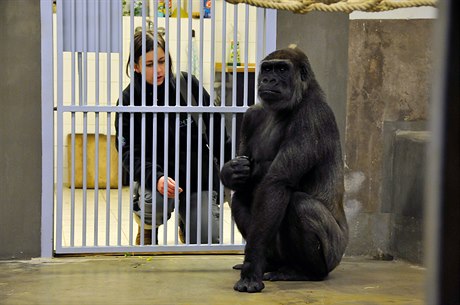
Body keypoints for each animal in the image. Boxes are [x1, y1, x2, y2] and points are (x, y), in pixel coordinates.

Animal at [221, 45, 346, 292]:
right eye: (268, 69)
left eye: (281, 69)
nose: (268, 80)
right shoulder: (251, 115)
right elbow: (243, 177)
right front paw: (231, 171)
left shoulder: (311, 118)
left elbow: (275, 182)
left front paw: (251, 268)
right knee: (242, 196)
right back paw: (271, 263)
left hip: (335, 256)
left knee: (301, 205)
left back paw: (306, 272)